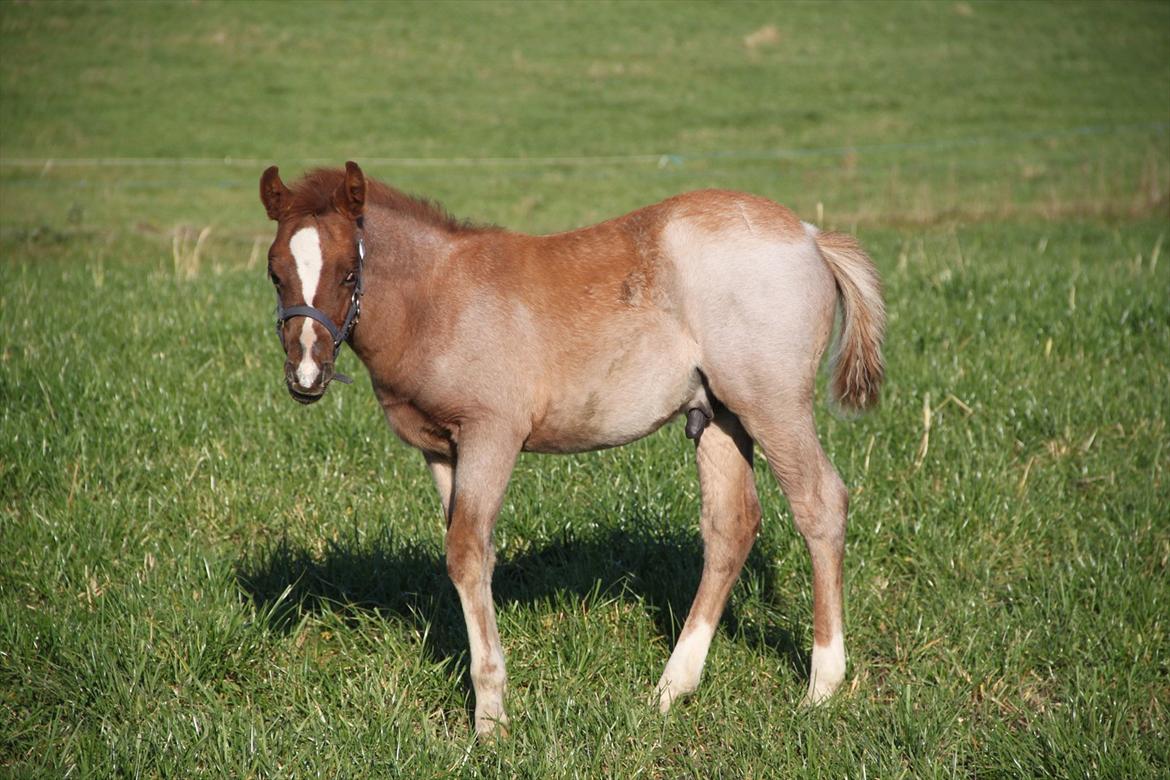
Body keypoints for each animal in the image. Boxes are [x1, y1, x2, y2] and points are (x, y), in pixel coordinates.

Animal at [253, 161, 879, 734]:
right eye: (275, 273)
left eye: (347, 273)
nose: (306, 375)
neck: (437, 298)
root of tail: (810, 236)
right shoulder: (441, 450)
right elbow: (460, 554)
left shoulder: (492, 434)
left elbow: (469, 552)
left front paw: (491, 717)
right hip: (720, 417)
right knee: (732, 525)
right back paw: (670, 689)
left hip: (772, 405)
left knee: (820, 504)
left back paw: (822, 687)